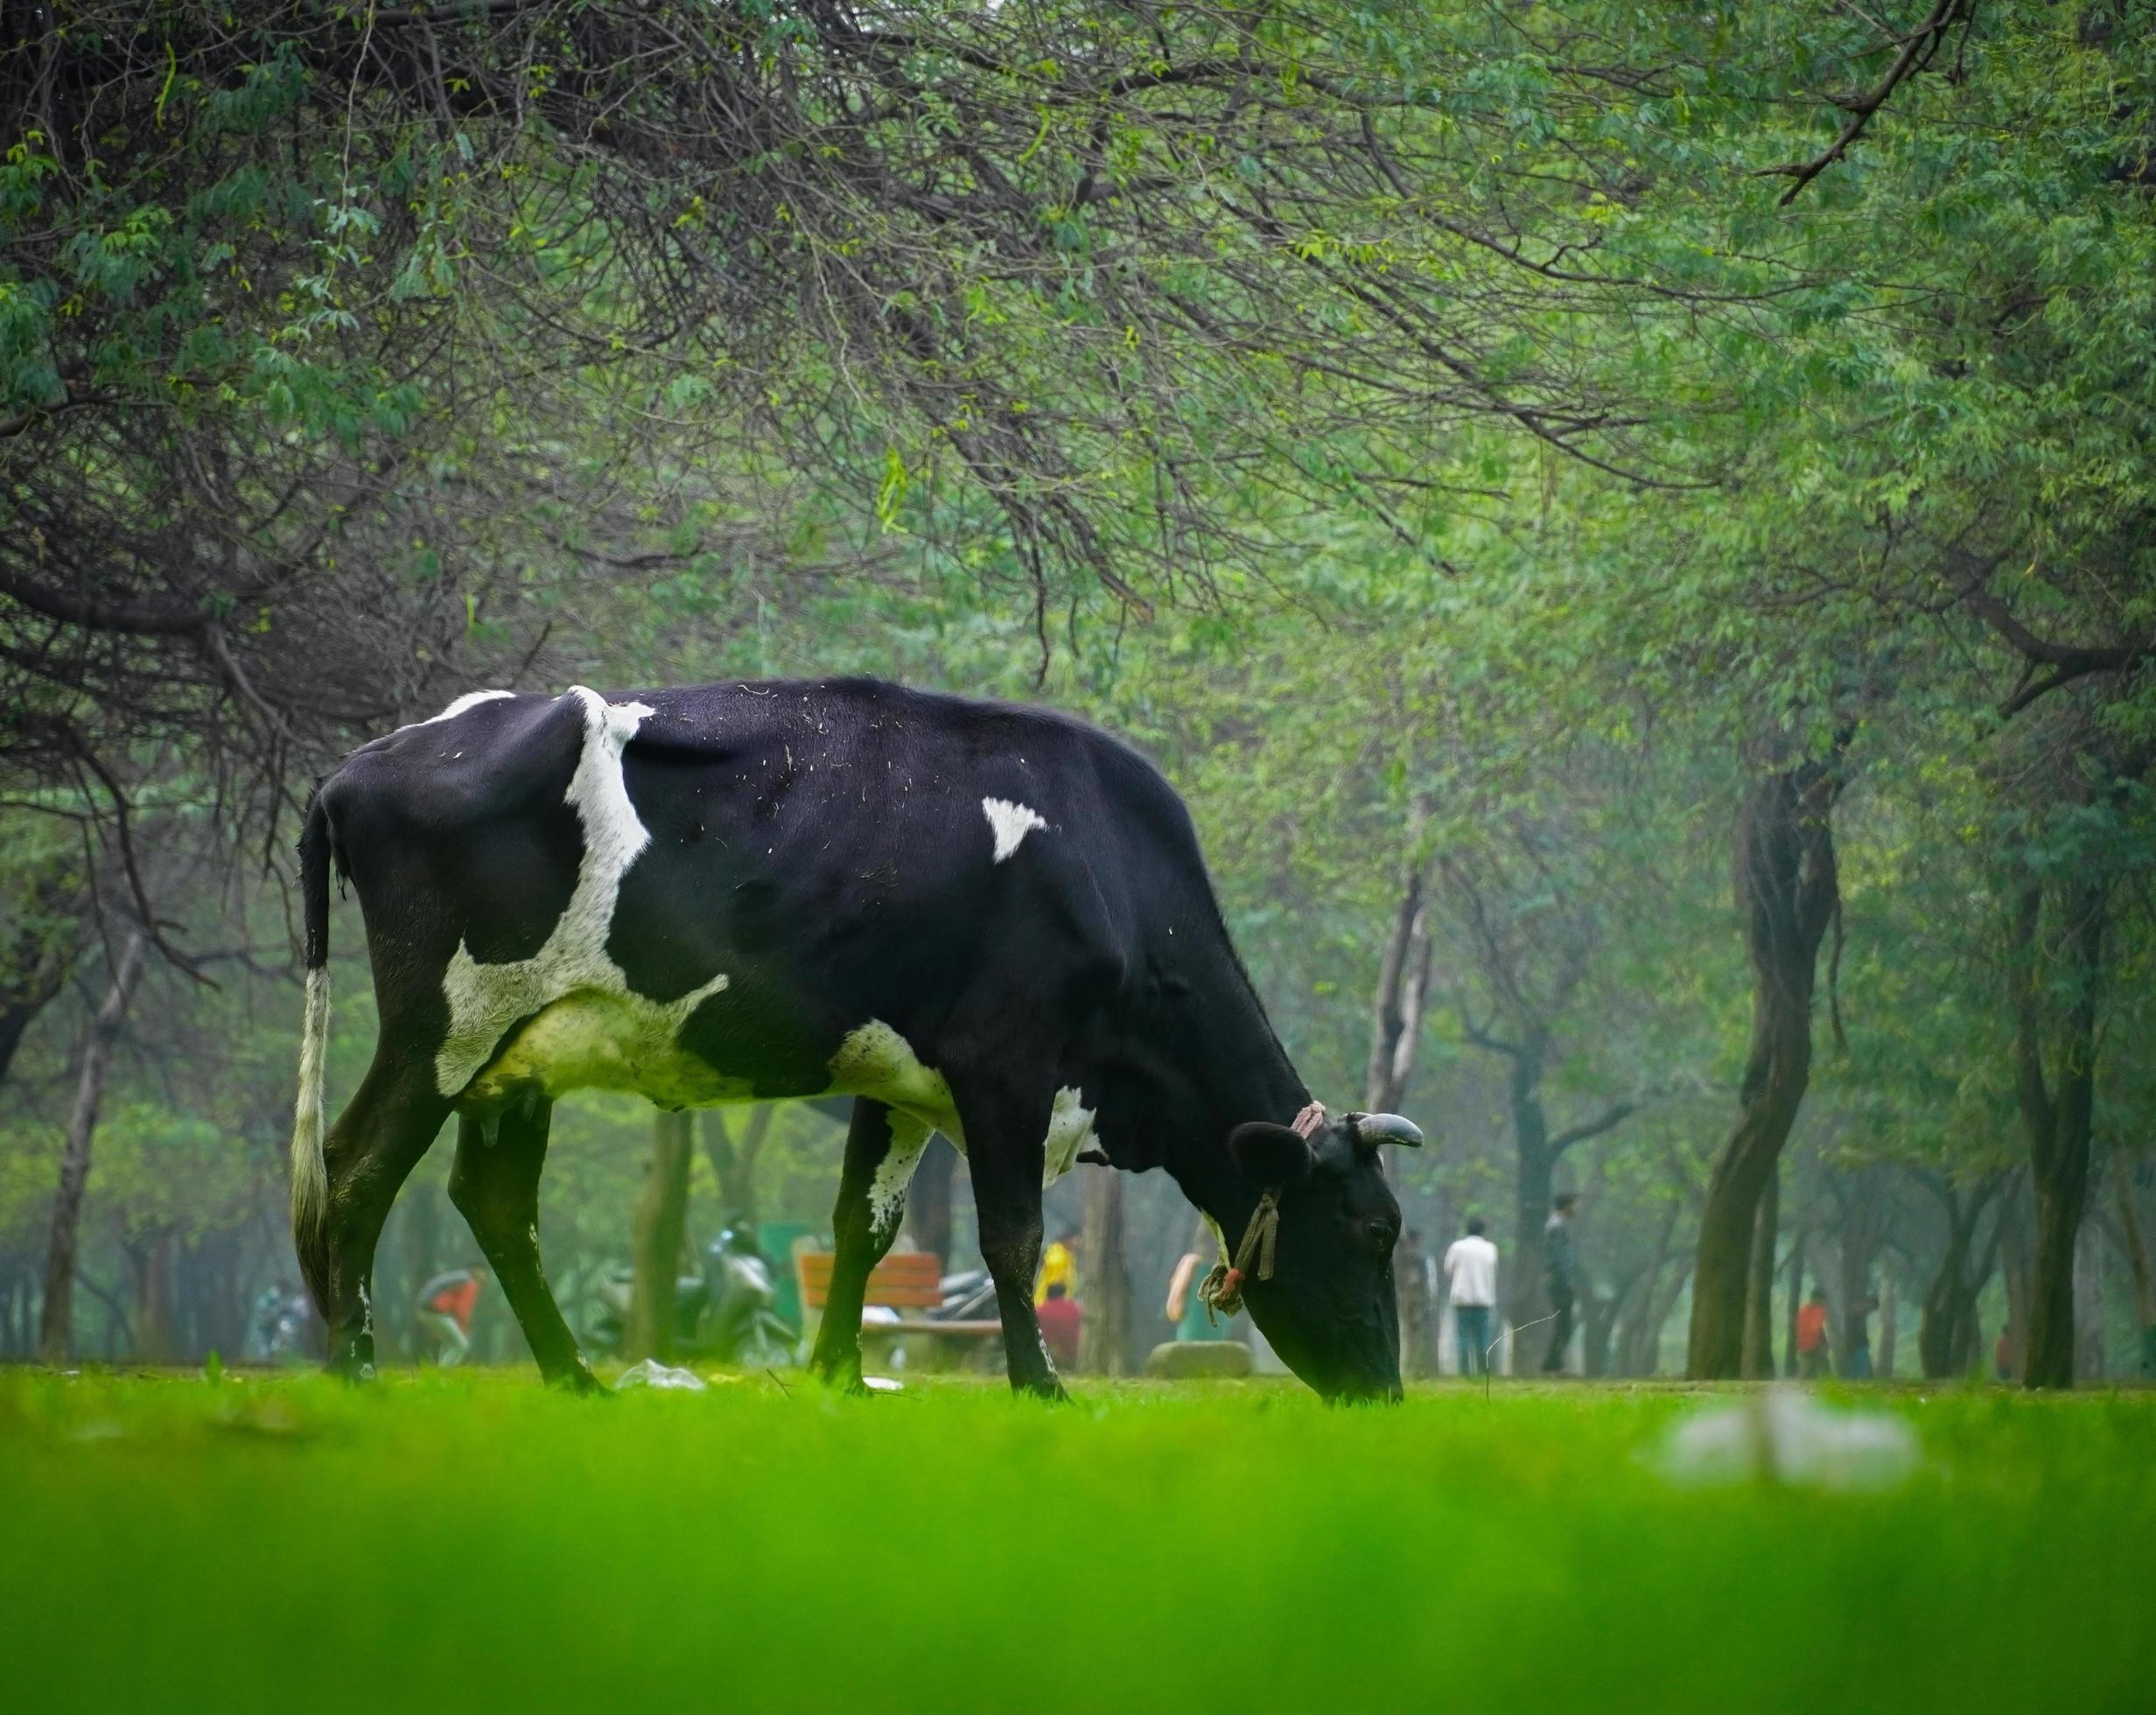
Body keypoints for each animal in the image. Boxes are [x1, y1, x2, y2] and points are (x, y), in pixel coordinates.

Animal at [288, 678, 1424, 1400]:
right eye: (1374, 1231)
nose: (1386, 1394)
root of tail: (360, 764)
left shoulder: (904, 1082)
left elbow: (862, 1227)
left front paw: (838, 1375)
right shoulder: (1005, 1069)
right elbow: (1010, 1237)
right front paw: (1042, 1388)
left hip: (522, 1055)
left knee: (495, 1206)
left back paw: (576, 1380)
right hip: (443, 1025)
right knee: (355, 1169)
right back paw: (358, 1370)